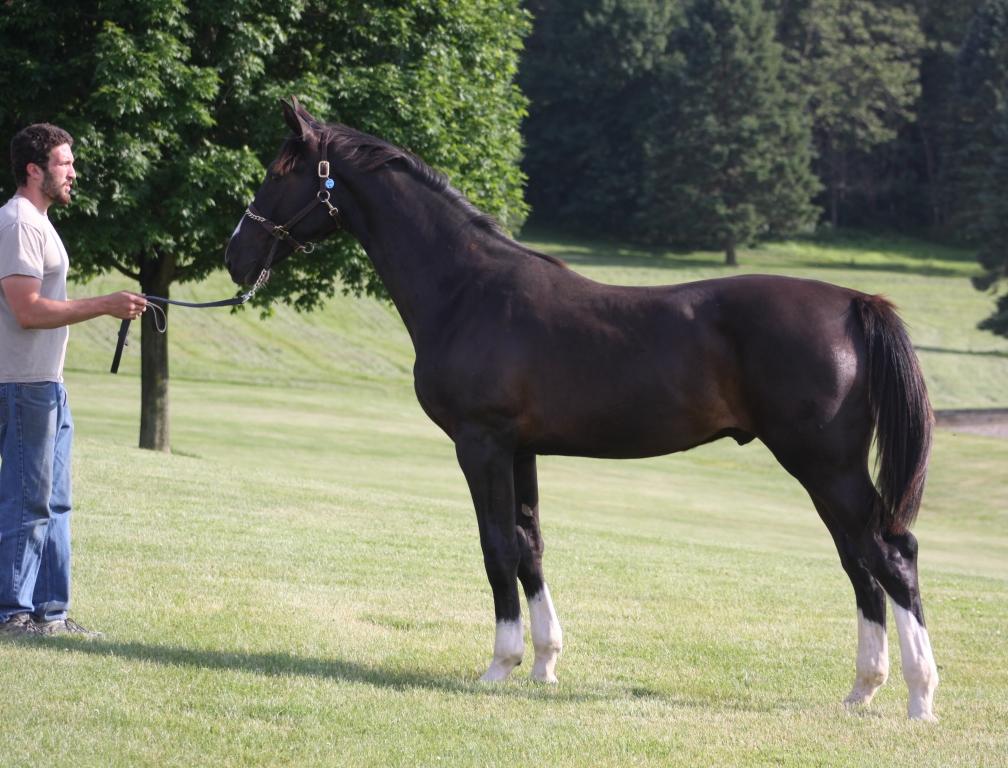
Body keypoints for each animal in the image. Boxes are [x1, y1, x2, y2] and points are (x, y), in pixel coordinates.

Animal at [224, 100, 939, 717]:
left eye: (279, 172)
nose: (235, 256)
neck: (467, 290)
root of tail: (854, 303)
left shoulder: (480, 443)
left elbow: (496, 547)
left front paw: (499, 666)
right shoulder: (521, 450)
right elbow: (530, 544)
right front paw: (544, 664)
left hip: (824, 465)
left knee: (891, 554)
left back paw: (919, 697)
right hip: (825, 471)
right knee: (858, 562)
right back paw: (862, 690)